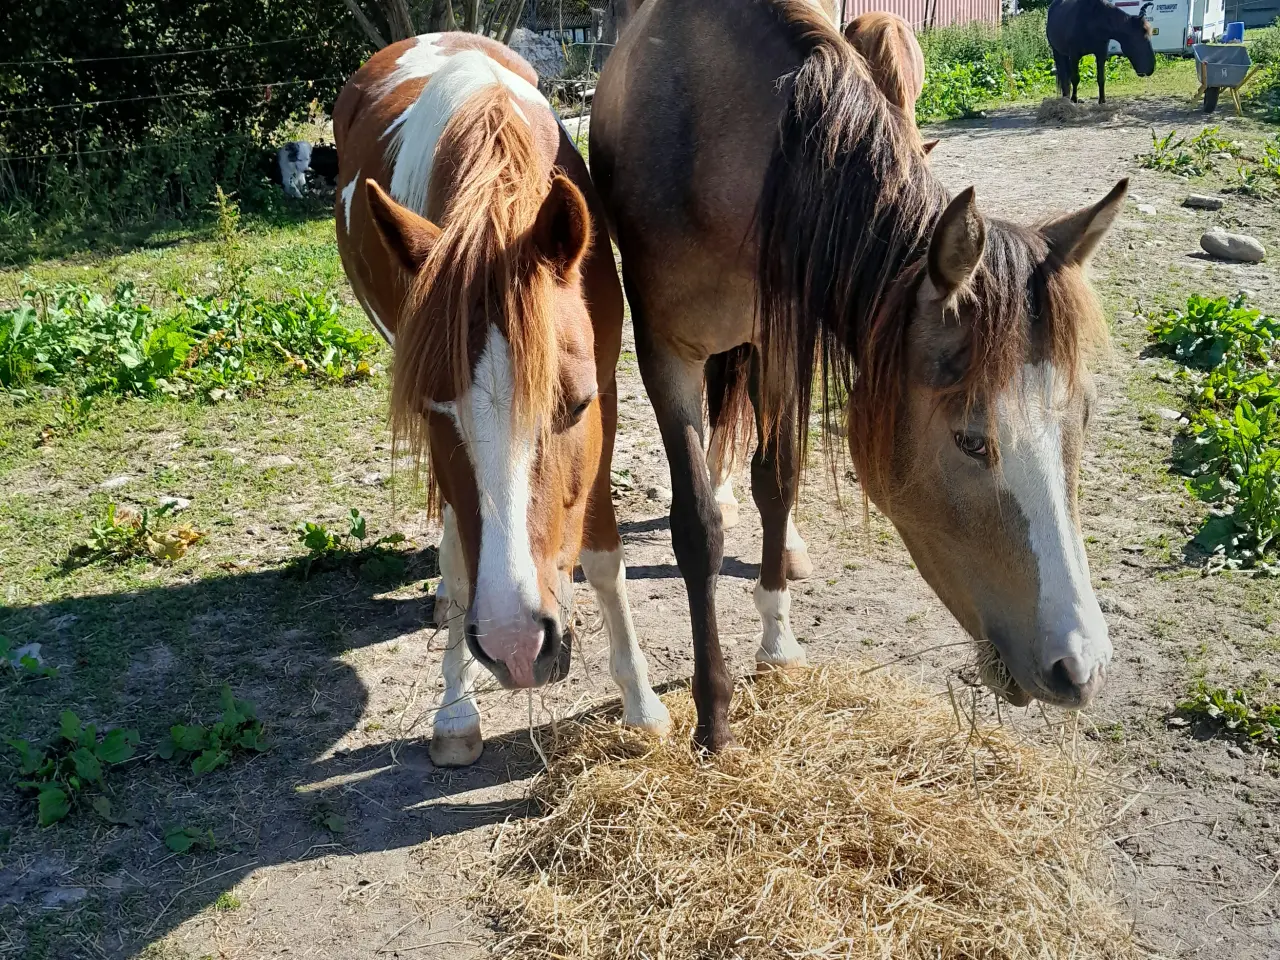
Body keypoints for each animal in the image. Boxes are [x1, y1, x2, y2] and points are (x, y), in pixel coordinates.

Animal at [333, 33, 668, 767]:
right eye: (436, 411)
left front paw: (641, 701)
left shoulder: (606, 409)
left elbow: (605, 559)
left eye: (573, 406)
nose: (517, 647)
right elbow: (463, 565)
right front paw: (455, 710)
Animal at [591, 0, 1126, 752]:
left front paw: (778, 639)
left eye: (1082, 418)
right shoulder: (664, 353)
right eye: (970, 440)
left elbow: (778, 479)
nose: (1081, 667)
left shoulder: (779, 338)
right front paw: (714, 715)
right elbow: (696, 526)